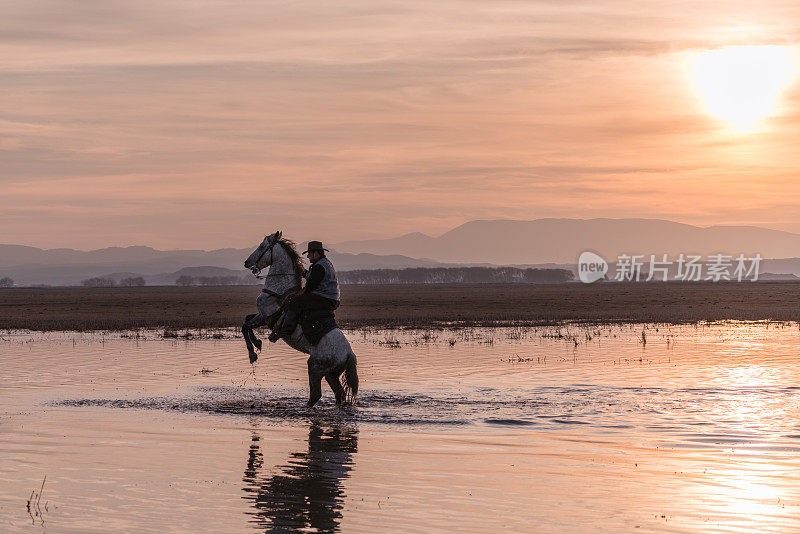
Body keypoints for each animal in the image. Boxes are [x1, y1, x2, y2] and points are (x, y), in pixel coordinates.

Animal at [241, 232, 360, 408]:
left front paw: (252, 353)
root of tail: (349, 354)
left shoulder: (267, 317)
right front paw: (257, 345)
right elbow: (246, 322)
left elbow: (245, 326)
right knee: (339, 393)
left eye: (262, 246)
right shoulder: (261, 316)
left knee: (316, 394)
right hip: (331, 374)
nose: (247, 262)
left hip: (315, 368)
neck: (280, 289)